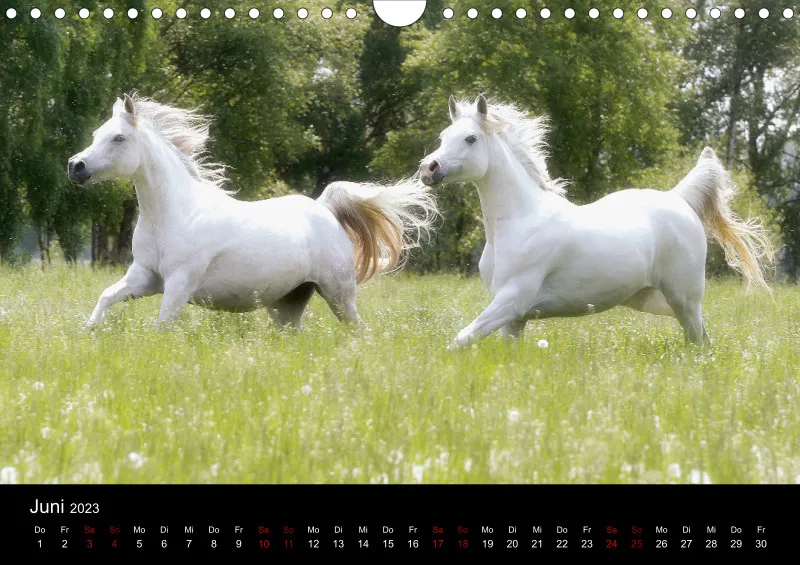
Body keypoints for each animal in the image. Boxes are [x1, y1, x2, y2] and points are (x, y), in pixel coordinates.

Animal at [68, 93, 438, 330]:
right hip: (288, 303)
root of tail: (324, 210)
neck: (172, 215)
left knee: (358, 330)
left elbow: (162, 326)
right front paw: (87, 332)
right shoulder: (144, 277)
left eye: (118, 138)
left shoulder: (179, 283)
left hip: (338, 294)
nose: (76, 166)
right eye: (96, 134)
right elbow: (105, 298)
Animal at [418, 95, 775, 350]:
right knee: (702, 339)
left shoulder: (512, 300)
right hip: (656, 300)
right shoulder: (514, 317)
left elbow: (460, 340)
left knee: (699, 341)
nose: (428, 168)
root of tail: (678, 199)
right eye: (444, 136)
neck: (516, 222)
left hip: (684, 299)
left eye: (470, 138)